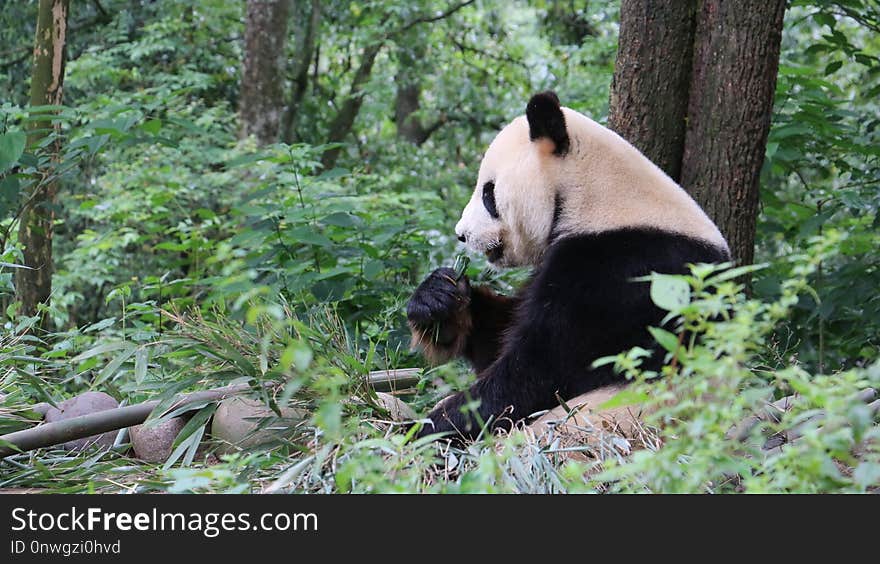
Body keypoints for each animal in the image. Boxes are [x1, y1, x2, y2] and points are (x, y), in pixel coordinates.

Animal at [406, 91, 728, 440]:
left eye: (489, 193)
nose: (461, 234)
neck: (597, 196)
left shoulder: (617, 275)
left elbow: (538, 372)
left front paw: (429, 428)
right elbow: (499, 335)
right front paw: (439, 298)